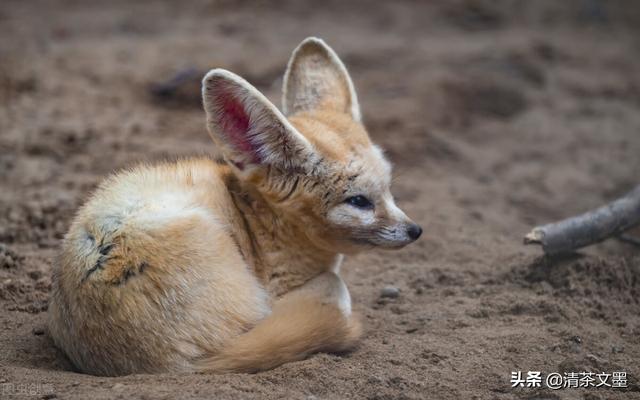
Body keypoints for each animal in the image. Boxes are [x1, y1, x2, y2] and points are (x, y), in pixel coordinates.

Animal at [47, 36, 422, 376]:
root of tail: (178, 366)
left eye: (389, 189)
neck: (259, 221)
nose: (415, 230)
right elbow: (335, 288)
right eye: (359, 201)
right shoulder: (277, 290)